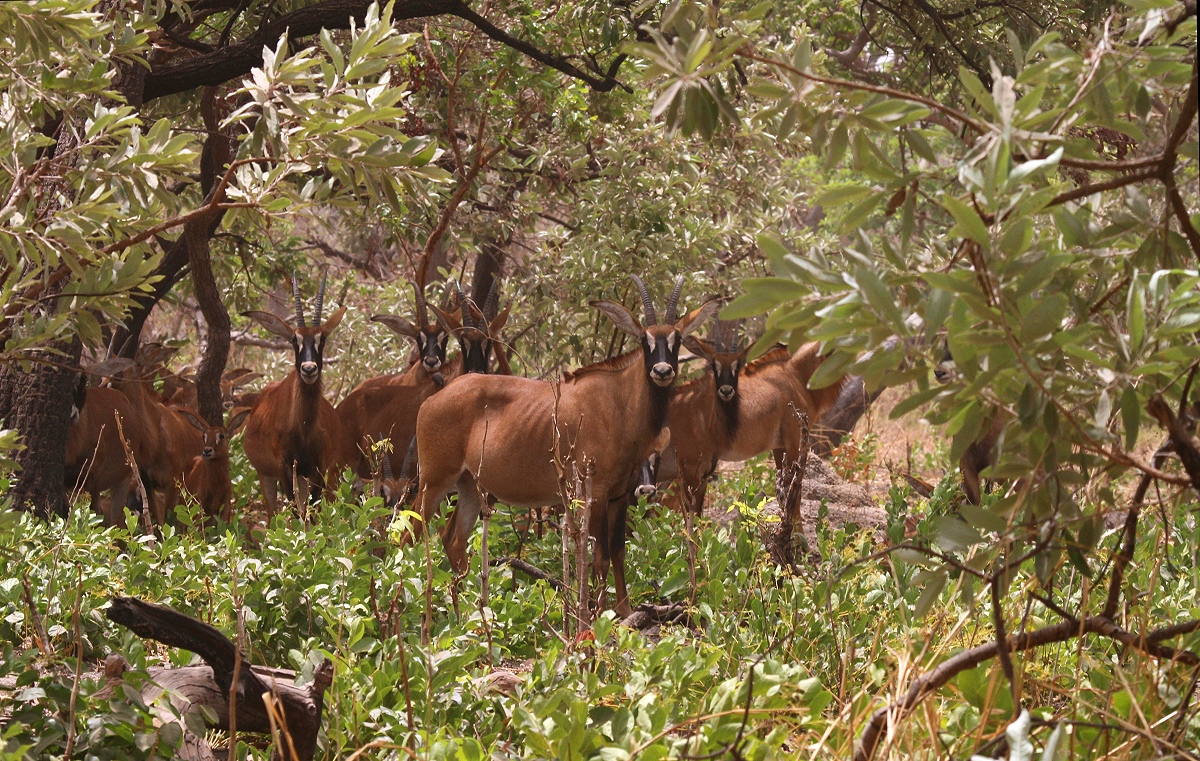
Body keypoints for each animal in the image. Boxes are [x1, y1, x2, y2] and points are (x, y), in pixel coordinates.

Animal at [241, 270, 348, 518]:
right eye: (293, 339)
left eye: (322, 339)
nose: (308, 369)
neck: (304, 428)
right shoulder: (284, 469)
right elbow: (296, 513)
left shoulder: (317, 470)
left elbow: (312, 514)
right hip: (267, 476)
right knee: (272, 515)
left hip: (302, 477)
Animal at [408, 276, 715, 614]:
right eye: (644, 339)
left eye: (677, 339)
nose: (662, 371)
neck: (621, 404)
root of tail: (429, 403)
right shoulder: (595, 493)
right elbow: (600, 557)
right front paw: (597, 613)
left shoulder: (620, 496)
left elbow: (619, 552)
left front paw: (624, 611)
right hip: (435, 480)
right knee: (411, 532)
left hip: (470, 486)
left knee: (453, 540)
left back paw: (464, 611)